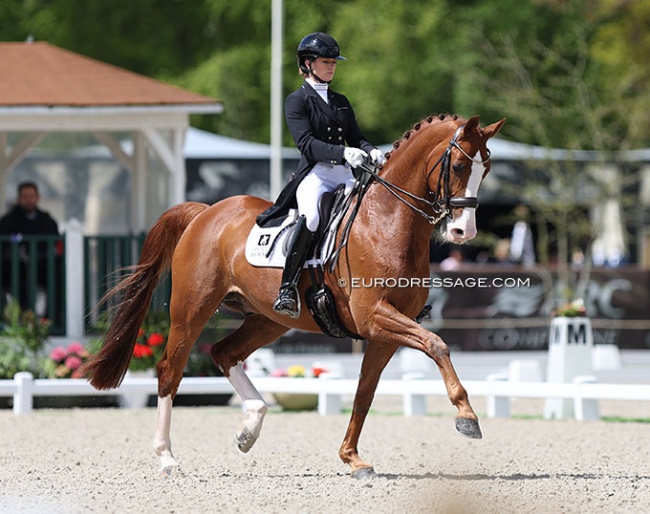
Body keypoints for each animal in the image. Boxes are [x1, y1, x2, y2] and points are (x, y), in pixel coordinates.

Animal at [83, 113, 504, 476]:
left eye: (486, 169)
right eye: (459, 166)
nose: (464, 232)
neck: (387, 222)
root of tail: (205, 212)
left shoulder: (383, 333)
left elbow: (364, 392)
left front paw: (352, 458)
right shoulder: (375, 317)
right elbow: (437, 345)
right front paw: (467, 416)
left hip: (268, 319)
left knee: (223, 353)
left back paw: (249, 429)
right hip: (191, 311)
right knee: (170, 371)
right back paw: (167, 457)